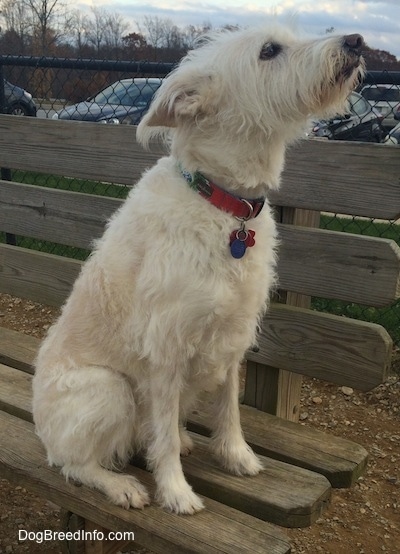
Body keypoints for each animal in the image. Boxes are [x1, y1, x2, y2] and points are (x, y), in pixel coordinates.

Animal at [33, 22, 366, 512]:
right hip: (108, 390)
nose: (356, 42)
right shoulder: (166, 346)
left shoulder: (234, 332)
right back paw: (121, 485)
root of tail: (41, 430)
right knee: (75, 464)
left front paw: (236, 456)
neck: (226, 206)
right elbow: (165, 437)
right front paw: (175, 491)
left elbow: (229, 408)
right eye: (269, 50)